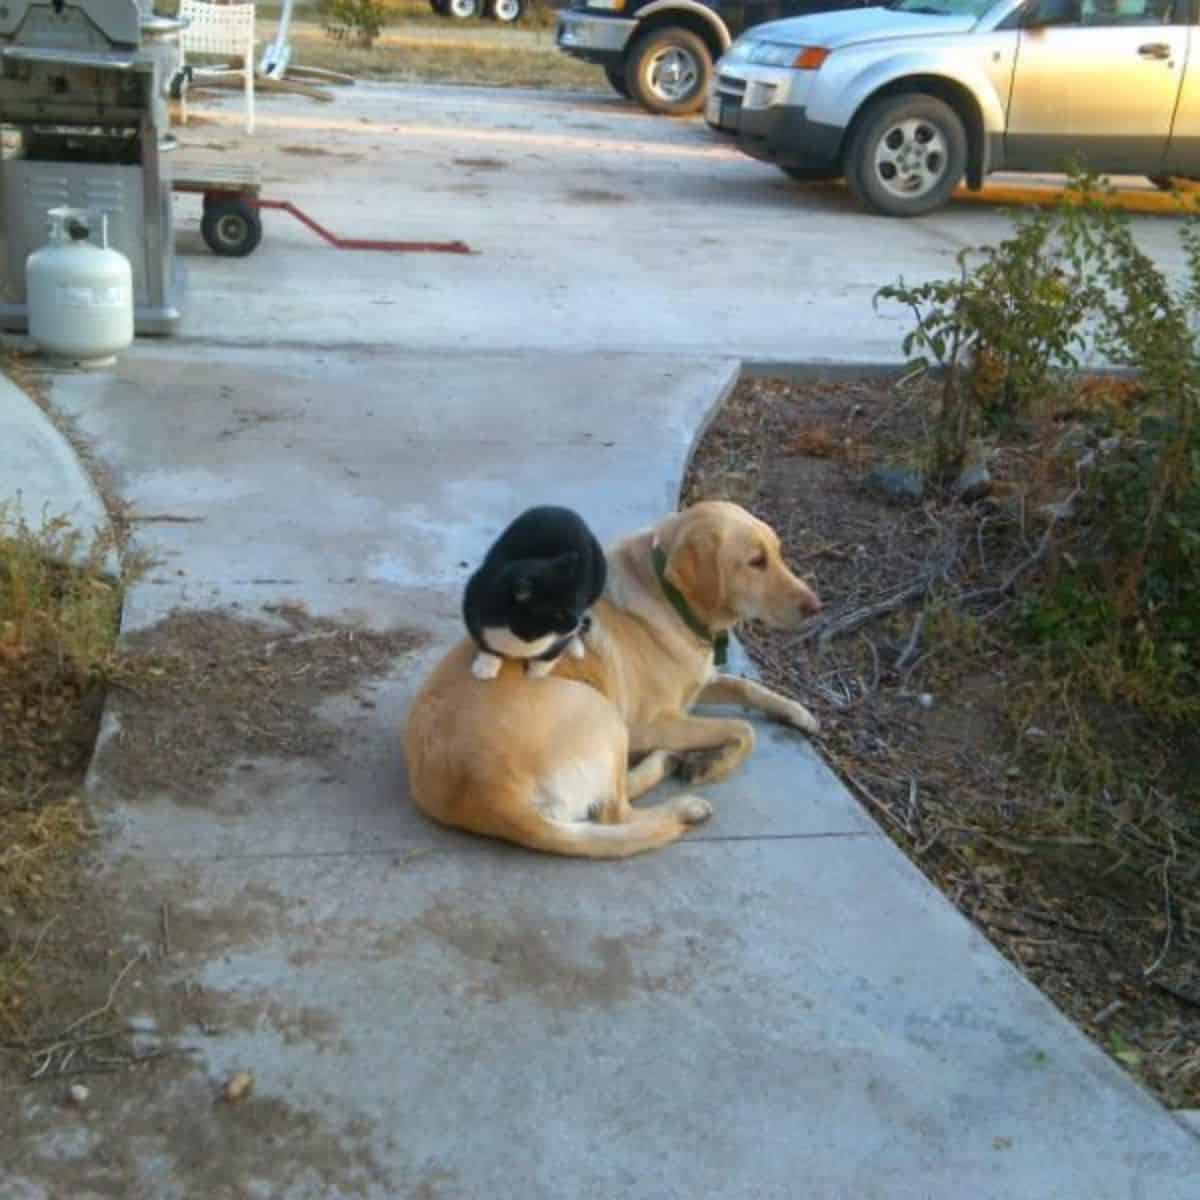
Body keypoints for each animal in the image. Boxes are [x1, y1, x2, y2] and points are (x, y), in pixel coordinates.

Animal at [460, 501, 604, 681]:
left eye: (576, 602)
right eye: (557, 613)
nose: (576, 621)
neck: (523, 636)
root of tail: (560, 507)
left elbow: (551, 653)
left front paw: (536, 674)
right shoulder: (473, 598)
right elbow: (484, 643)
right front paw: (486, 665)